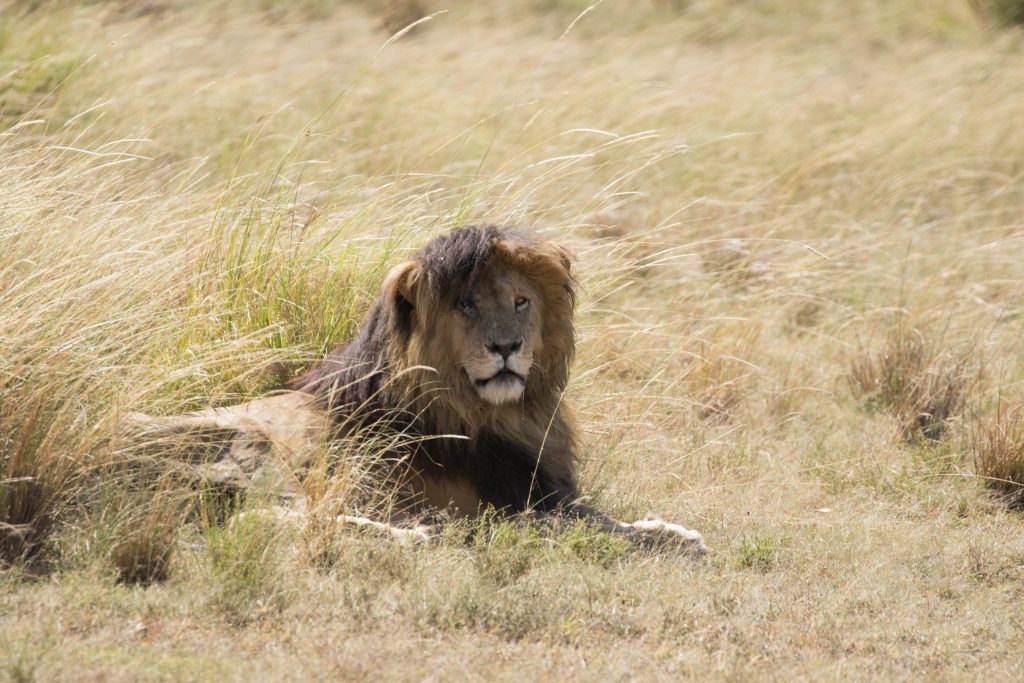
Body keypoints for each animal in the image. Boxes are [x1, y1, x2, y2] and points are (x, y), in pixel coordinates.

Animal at [125, 227, 704, 552]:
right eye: (466, 305)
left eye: (520, 301)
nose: (507, 347)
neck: (498, 413)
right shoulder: (508, 503)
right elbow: (587, 526)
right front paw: (667, 538)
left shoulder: (542, 488)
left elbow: (601, 517)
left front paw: (667, 529)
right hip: (252, 448)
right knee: (258, 517)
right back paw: (414, 535)